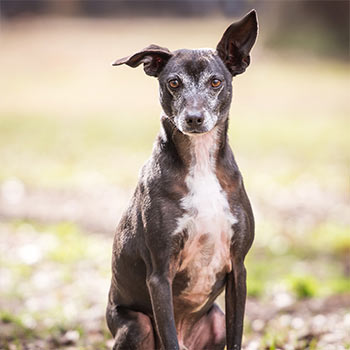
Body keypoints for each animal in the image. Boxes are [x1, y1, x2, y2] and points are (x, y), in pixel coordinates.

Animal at [106, 10, 258, 350]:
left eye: (216, 82)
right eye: (173, 82)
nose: (194, 118)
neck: (200, 164)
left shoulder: (238, 268)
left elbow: (237, 335)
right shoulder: (160, 274)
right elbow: (169, 337)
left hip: (215, 320)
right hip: (136, 325)